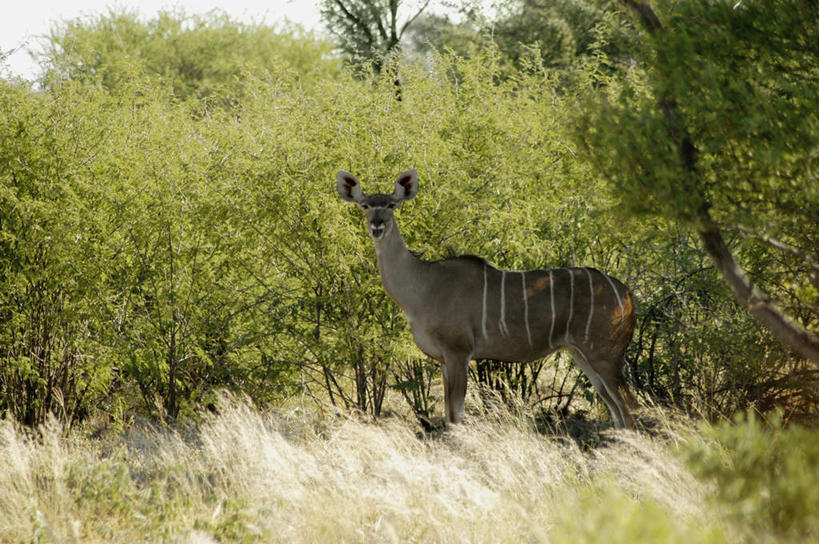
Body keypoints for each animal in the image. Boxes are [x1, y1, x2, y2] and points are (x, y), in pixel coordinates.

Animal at [336, 168, 636, 428]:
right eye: (365, 205)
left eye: (391, 205)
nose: (377, 225)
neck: (423, 285)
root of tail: (627, 295)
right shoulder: (444, 360)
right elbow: (449, 413)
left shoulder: (459, 352)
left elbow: (455, 416)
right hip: (582, 355)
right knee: (617, 412)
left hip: (605, 356)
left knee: (628, 409)